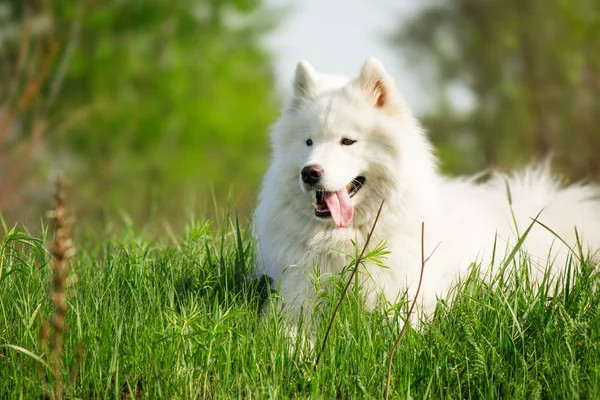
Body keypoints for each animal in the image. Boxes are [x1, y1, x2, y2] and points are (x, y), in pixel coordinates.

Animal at [253, 57, 600, 318]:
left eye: (347, 141)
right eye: (308, 142)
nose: (310, 173)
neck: (348, 239)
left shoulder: (404, 303)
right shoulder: (296, 301)